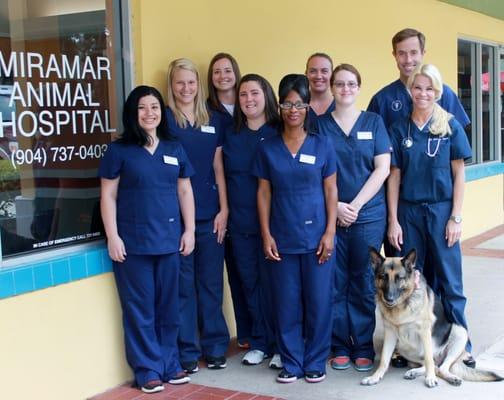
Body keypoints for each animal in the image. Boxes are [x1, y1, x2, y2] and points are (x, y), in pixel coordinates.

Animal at [360, 247, 502, 388]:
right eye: (383, 277)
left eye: (399, 278)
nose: (389, 298)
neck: (402, 305)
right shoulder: (390, 333)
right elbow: (384, 360)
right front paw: (375, 377)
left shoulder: (424, 331)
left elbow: (428, 359)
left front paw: (430, 378)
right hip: (404, 347)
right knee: (435, 366)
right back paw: (414, 372)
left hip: (460, 332)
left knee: (439, 366)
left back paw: (451, 377)